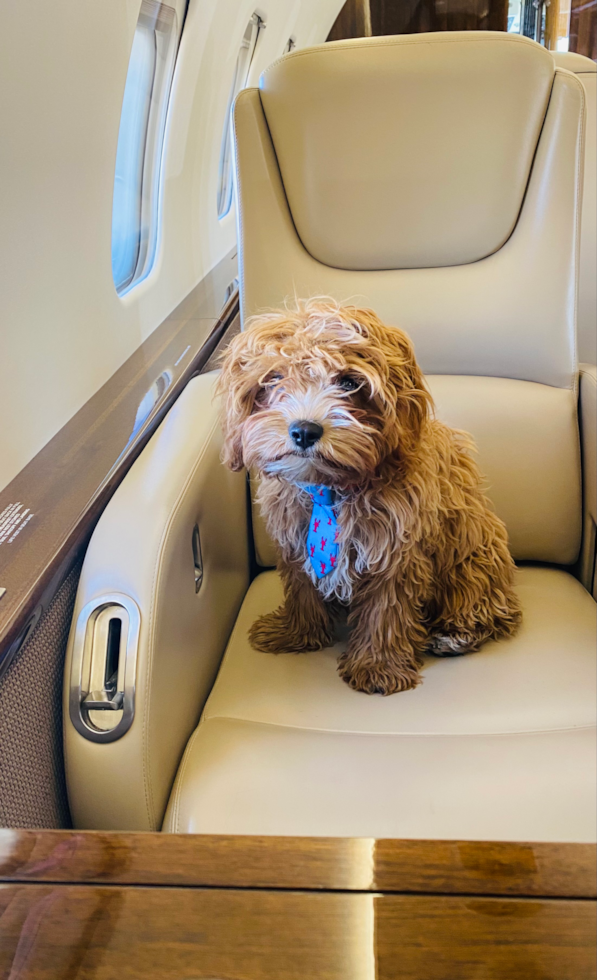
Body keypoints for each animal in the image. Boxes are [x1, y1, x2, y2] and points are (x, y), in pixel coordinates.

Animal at [217, 300, 520, 696]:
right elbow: (302, 590)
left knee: (486, 604)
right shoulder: (296, 542)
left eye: (349, 382)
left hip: (474, 557)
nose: (304, 431)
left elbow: (385, 609)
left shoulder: (394, 549)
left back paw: (457, 634)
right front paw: (296, 633)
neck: (331, 489)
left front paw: (378, 666)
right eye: (275, 378)